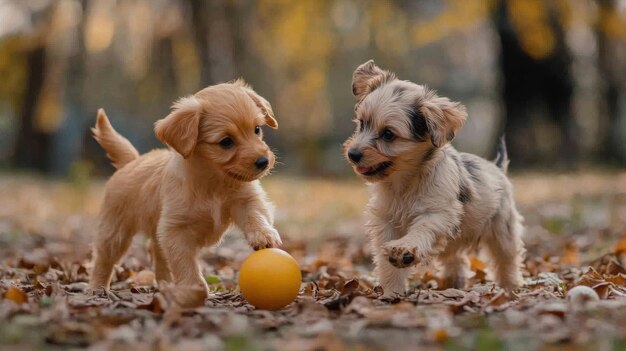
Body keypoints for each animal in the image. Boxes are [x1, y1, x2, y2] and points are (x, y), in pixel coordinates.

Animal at [89, 80, 282, 308]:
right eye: (226, 142)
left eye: (257, 129)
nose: (263, 161)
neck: (213, 181)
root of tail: (132, 161)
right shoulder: (176, 231)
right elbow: (186, 267)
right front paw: (192, 291)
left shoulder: (246, 200)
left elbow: (255, 214)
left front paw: (263, 234)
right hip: (115, 230)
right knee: (104, 259)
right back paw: (98, 288)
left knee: (157, 253)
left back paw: (166, 286)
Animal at [344, 60, 524, 296]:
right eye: (362, 124)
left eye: (388, 134)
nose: (353, 154)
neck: (404, 182)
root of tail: (497, 168)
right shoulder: (385, 222)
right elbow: (387, 266)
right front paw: (392, 292)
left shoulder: (437, 213)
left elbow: (421, 229)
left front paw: (405, 249)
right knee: (456, 259)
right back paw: (453, 282)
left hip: (503, 230)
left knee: (506, 260)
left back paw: (510, 288)